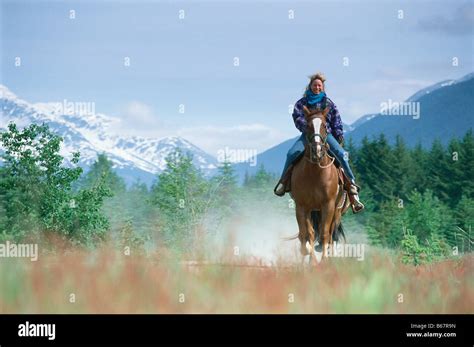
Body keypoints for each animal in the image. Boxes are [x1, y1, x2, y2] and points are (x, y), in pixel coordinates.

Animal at [286, 104, 350, 266]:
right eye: (308, 126)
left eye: (325, 126)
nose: (317, 150)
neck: (315, 173)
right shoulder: (302, 206)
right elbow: (307, 234)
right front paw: (310, 260)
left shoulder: (328, 205)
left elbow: (325, 233)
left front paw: (324, 261)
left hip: (337, 211)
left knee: (332, 235)